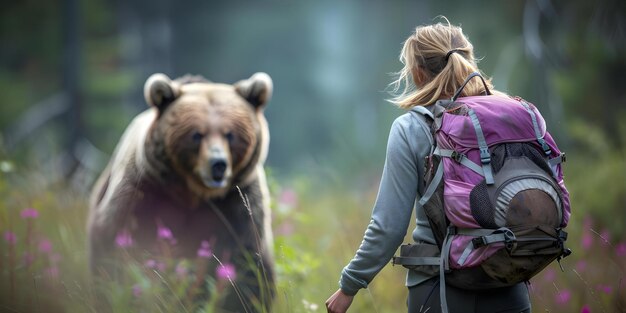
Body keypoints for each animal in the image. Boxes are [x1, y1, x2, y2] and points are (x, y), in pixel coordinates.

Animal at [86, 72, 274, 310]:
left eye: (230, 134)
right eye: (197, 134)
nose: (218, 164)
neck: (192, 192)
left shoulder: (236, 202)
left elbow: (247, 259)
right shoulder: (144, 191)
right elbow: (119, 241)